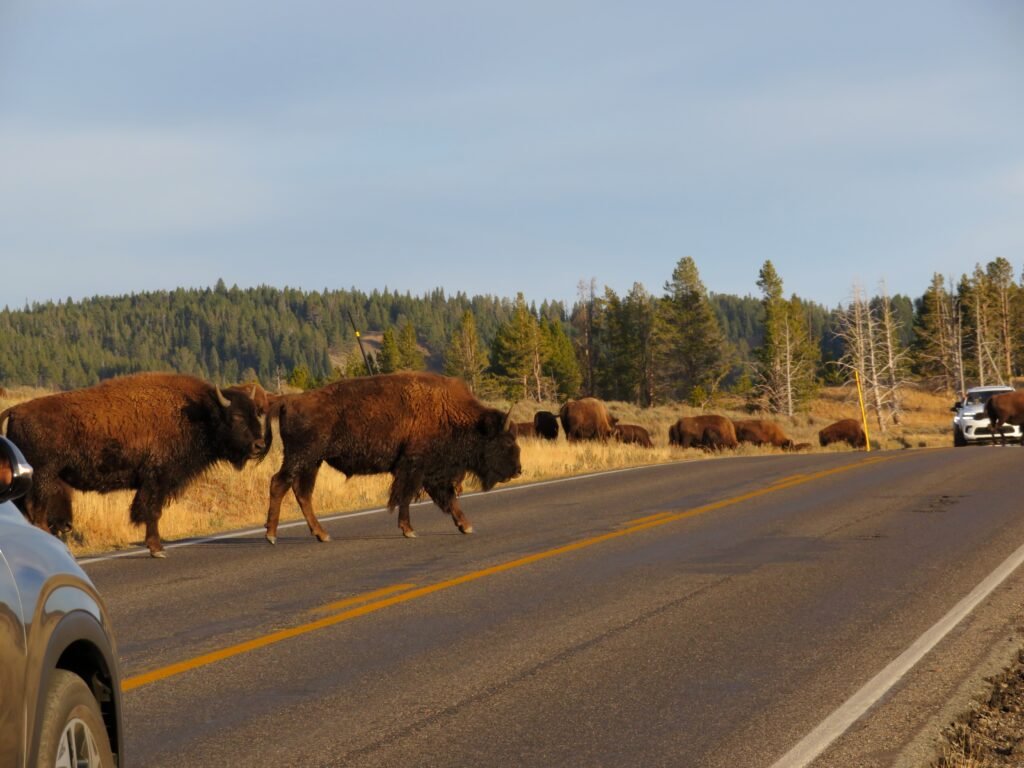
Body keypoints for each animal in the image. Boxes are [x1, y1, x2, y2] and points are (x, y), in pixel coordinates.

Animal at [0, 373, 270, 557]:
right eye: (236, 417)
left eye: (256, 413)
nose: (258, 445)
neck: (199, 412)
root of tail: (15, 411)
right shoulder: (157, 479)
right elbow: (152, 511)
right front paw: (157, 548)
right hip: (42, 478)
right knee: (36, 512)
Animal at [263, 371, 521, 543]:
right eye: (507, 441)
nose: (518, 470)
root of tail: (289, 400)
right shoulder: (415, 468)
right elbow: (407, 497)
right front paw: (409, 530)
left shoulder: (428, 472)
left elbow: (446, 499)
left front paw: (465, 526)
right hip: (301, 458)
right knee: (279, 483)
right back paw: (271, 535)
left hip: (312, 462)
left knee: (302, 493)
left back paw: (322, 534)